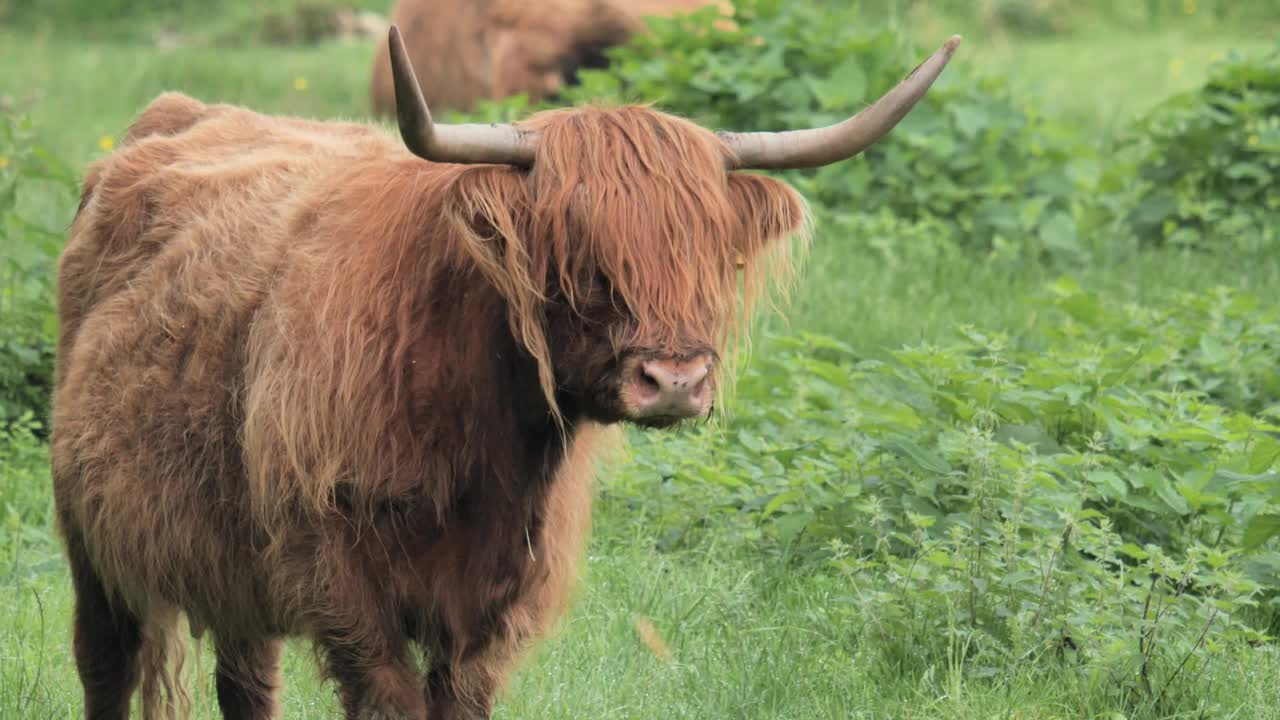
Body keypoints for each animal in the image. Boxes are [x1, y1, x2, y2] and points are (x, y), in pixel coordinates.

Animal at [52, 25, 962, 712]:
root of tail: (177, 114)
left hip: (234, 552)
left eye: (712, 254)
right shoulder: (344, 586)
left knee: (246, 679)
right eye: (575, 250)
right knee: (105, 660)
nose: (673, 381)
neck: (478, 443)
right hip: (88, 528)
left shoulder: (495, 610)